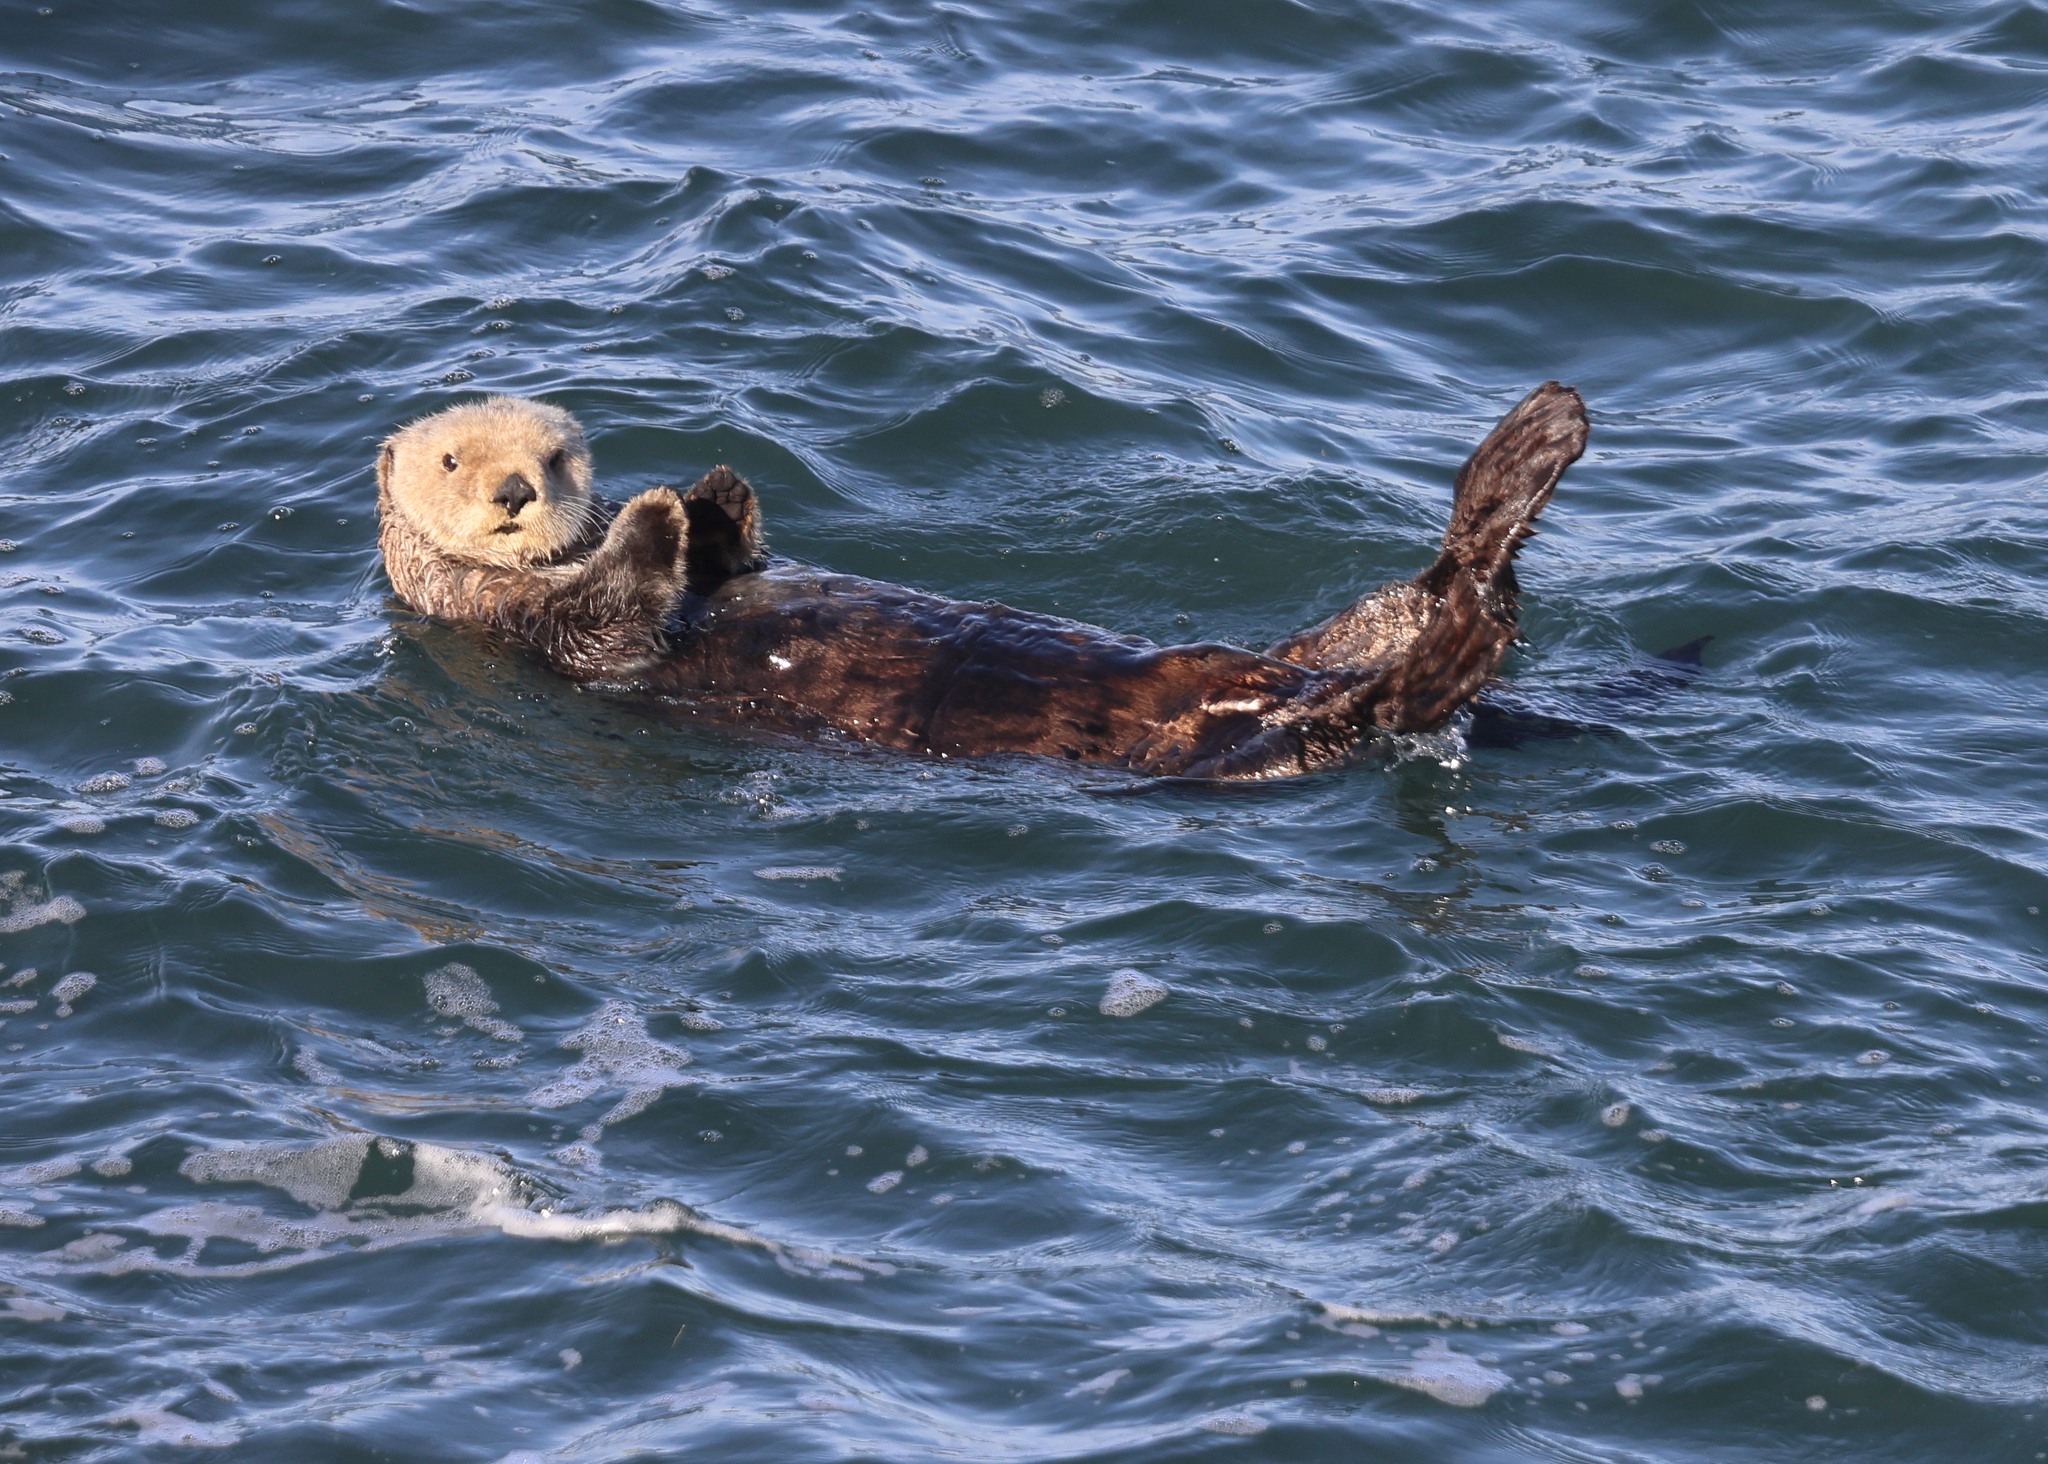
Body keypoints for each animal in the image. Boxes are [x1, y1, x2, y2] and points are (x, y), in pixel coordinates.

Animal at [376, 383, 1587, 780]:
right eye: (453, 461)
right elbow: (614, 620)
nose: (519, 493)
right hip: (1232, 753)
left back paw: (1528, 454)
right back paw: (1468, 617)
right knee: (1390, 692)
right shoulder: (517, 630)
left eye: (559, 453)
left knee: (1409, 607)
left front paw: (712, 496)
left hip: (1289, 665)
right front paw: (660, 516)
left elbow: (733, 560)